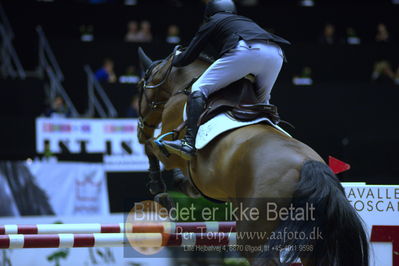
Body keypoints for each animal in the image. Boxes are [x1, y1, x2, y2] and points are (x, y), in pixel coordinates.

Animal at [137, 46, 368, 264]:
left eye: (140, 86)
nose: (140, 131)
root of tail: (308, 166)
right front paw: (183, 187)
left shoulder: (169, 150)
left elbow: (152, 148)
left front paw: (160, 190)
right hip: (309, 239)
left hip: (253, 233)